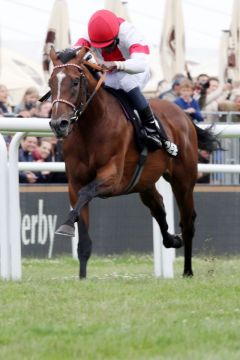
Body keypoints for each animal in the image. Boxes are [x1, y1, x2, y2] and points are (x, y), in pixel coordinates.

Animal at [47, 47, 218, 278]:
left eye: (75, 82)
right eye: (51, 82)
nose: (59, 124)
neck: (91, 127)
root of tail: (184, 115)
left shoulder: (112, 178)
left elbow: (86, 192)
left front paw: (65, 225)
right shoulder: (74, 183)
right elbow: (83, 235)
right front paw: (82, 277)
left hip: (184, 179)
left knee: (188, 221)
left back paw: (188, 271)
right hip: (144, 181)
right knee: (158, 207)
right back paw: (172, 240)